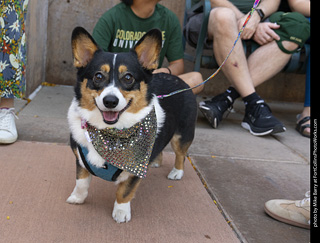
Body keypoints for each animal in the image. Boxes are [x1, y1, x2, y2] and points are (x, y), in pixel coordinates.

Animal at [66, 27, 198, 223]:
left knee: (180, 154)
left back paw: (177, 172)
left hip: (182, 135)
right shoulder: (81, 160)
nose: (110, 101)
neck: (108, 134)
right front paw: (77, 198)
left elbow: (124, 192)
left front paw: (121, 212)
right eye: (98, 76)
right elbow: (81, 182)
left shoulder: (135, 170)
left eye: (128, 77)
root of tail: (179, 80)